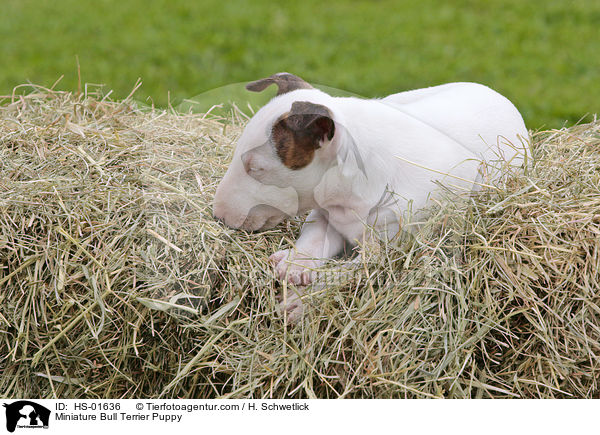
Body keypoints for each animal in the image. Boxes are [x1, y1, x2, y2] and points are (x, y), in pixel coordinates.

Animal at [214, 73, 528, 320]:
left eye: (256, 168)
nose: (218, 216)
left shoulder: (390, 249)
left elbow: (344, 274)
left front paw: (300, 302)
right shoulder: (325, 212)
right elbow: (314, 236)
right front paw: (296, 263)